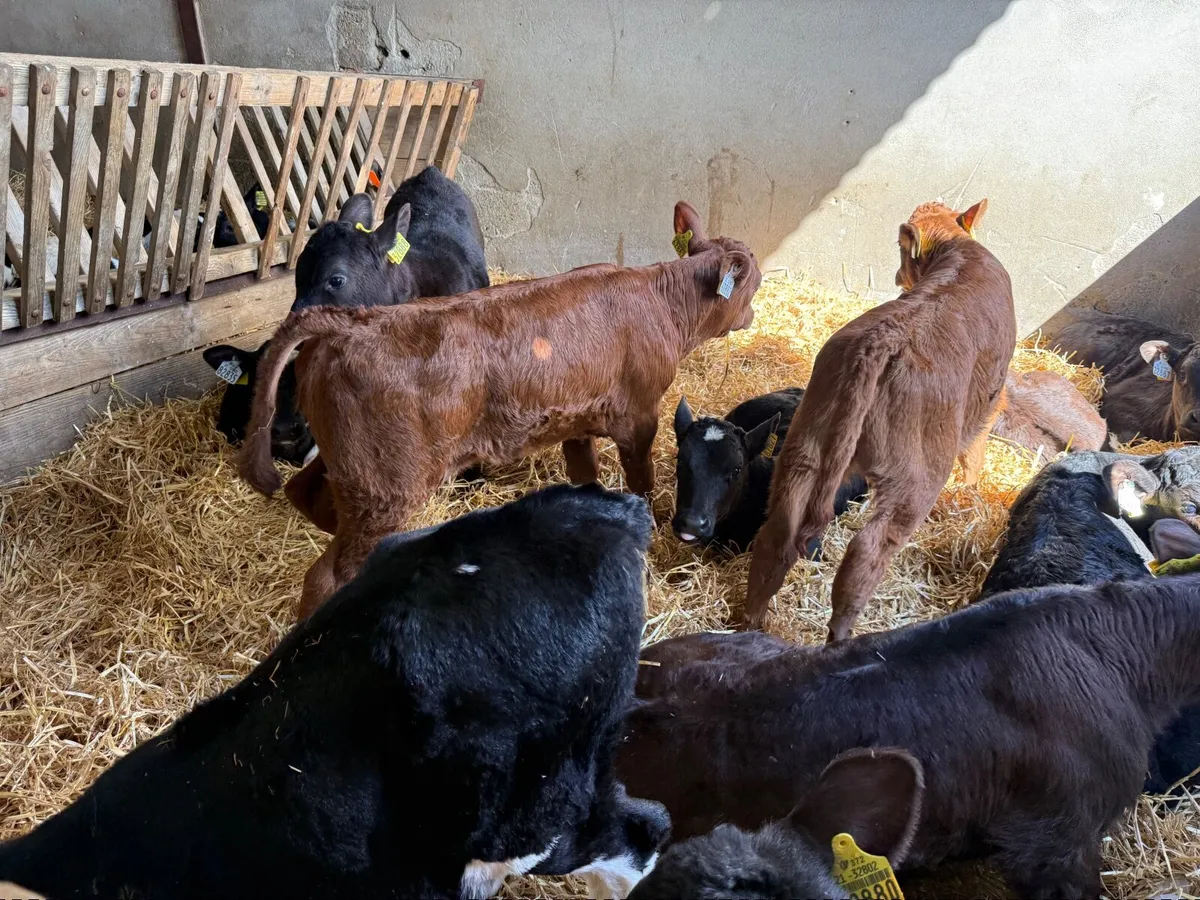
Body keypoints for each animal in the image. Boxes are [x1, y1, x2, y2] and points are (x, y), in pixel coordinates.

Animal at [239, 200, 762, 619]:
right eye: (753, 283)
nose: (754, 314)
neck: (660, 301)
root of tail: (347, 324)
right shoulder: (639, 417)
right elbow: (641, 483)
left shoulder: (577, 419)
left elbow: (586, 476)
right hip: (385, 488)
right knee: (328, 575)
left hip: (351, 467)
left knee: (303, 494)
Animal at [744, 199, 1016, 640]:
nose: (896, 276)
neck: (957, 248)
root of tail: (881, 342)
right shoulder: (991, 398)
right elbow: (975, 451)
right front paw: (971, 492)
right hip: (915, 480)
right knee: (866, 553)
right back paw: (841, 638)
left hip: (805, 448)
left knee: (777, 534)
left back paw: (750, 621)